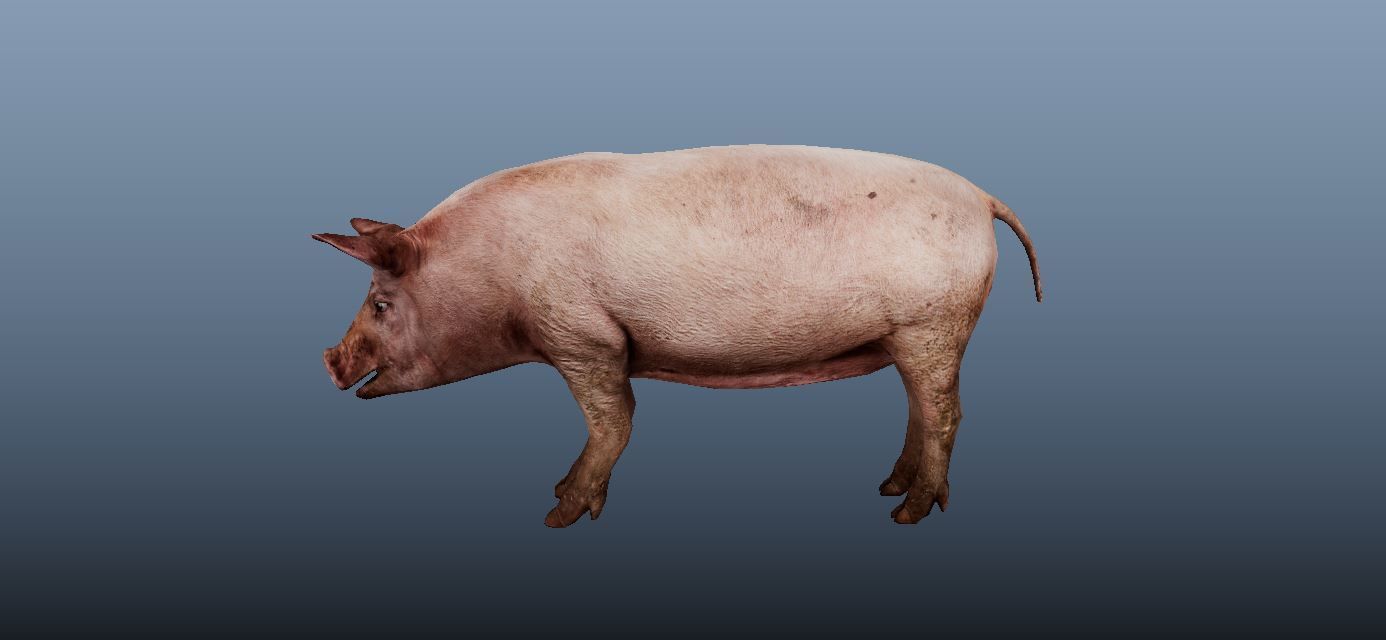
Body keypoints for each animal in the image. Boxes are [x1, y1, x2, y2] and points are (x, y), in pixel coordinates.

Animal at [314, 144, 1041, 527]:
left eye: (380, 303)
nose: (328, 360)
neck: (496, 275)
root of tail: (982, 198)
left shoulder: (584, 336)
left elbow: (616, 421)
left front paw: (557, 514)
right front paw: (561, 496)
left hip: (932, 323)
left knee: (944, 414)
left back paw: (906, 515)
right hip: (915, 335)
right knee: (923, 410)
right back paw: (891, 490)